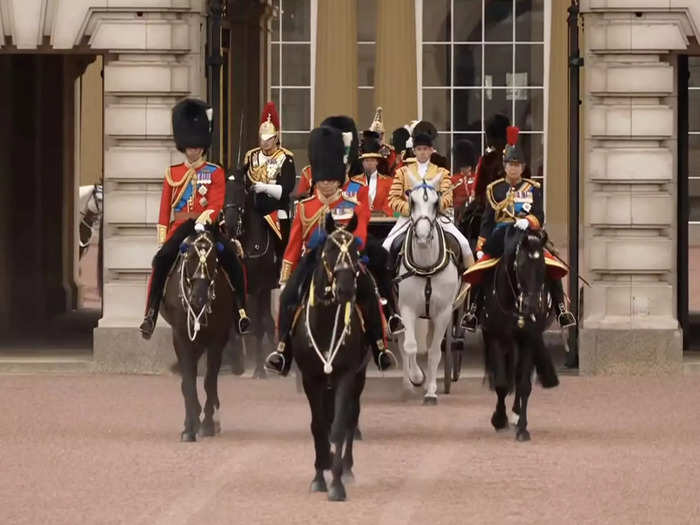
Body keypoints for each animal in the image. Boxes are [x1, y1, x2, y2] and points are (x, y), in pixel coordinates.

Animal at [160, 227, 234, 440]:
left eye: (213, 258)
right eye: (191, 257)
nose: (198, 299)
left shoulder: (217, 339)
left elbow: (209, 381)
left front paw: (207, 423)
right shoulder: (180, 337)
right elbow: (189, 381)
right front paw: (190, 427)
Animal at [224, 171, 278, 376]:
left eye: (241, 190)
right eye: (224, 190)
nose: (229, 225)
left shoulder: (261, 288)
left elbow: (260, 326)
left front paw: (259, 371)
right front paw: (237, 362)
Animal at [294, 213, 372, 500]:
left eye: (355, 250)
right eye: (328, 249)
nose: (346, 289)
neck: (326, 323)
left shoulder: (346, 376)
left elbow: (338, 426)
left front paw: (337, 482)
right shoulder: (311, 378)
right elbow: (318, 426)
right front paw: (319, 474)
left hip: (359, 376)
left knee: (350, 417)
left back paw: (346, 468)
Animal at [396, 180, 462, 406]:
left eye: (436, 203)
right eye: (412, 201)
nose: (423, 237)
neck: (426, 267)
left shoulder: (443, 313)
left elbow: (434, 352)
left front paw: (431, 391)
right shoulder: (406, 308)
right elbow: (410, 346)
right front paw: (416, 377)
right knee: (403, 341)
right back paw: (408, 383)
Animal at [482, 227, 556, 440]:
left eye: (542, 266)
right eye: (521, 265)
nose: (532, 306)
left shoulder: (529, 339)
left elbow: (523, 385)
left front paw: (522, 427)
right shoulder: (495, 336)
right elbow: (501, 384)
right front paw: (499, 419)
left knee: (517, 374)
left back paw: (515, 415)